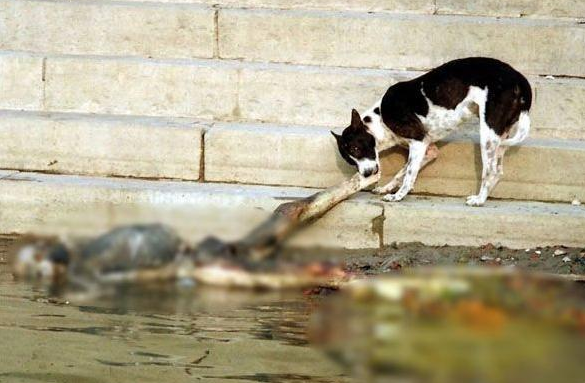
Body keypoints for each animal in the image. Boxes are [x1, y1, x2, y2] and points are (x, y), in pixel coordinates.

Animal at [334, 57, 528, 207]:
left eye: (356, 149)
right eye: (350, 161)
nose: (366, 175)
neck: (379, 119)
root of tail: (519, 77)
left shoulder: (418, 142)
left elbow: (409, 175)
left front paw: (397, 196)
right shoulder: (428, 150)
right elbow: (402, 173)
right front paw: (387, 188)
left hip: (488, 135)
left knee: (491, 171)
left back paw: (479, 200)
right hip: (500, 138)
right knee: (498, 171)